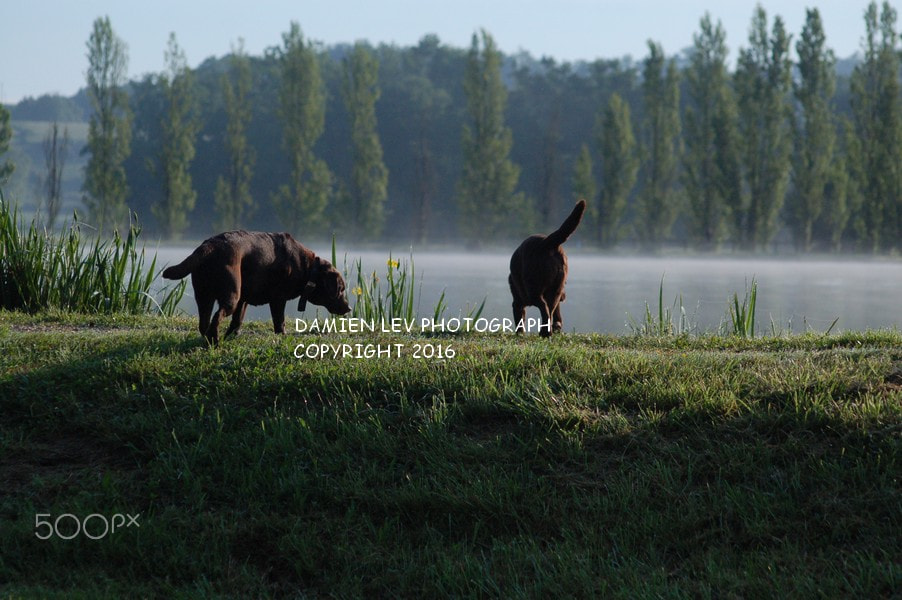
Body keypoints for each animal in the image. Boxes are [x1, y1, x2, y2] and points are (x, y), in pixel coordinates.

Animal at [162, 230, 350, 342]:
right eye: (340, 289)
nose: (348, 308)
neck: (308, 269)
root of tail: (209, 247)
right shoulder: (278, 299)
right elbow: (279, 321)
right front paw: (282, 336)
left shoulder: (243, 300)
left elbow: (237, 320)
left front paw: (233, 335)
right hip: (231, 295)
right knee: (216, 317)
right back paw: (214, 340)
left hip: (204, 296)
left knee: (204, 322)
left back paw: (208, 339)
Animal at [508, 199, 588, 336]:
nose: (564, 297)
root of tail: (547, 242)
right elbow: (556, 315)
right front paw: (557, 326)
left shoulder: (517, 302)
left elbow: (519, 320)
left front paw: (520, 333)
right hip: (556, 289)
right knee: (550, 309)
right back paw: (548, 331)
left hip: (533, 290)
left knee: (544, 307)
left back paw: (545, 332)